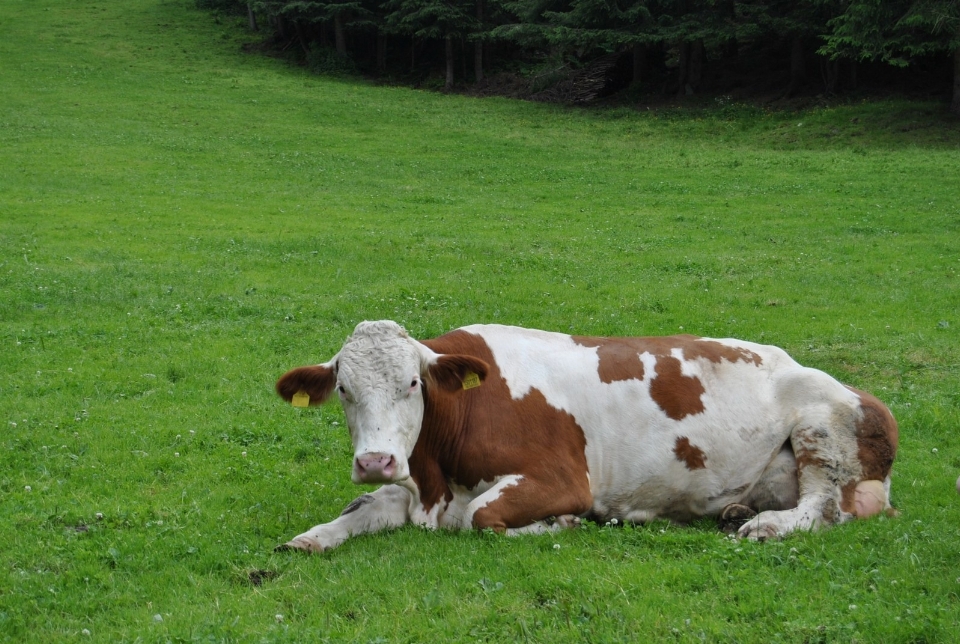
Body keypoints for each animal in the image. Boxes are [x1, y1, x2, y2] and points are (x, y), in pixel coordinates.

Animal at [274, 320, 896, 552]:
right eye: (344, 389)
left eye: (411, 383)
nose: (376, 460)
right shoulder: (415, 483)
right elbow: (360, 508)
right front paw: (311, 537)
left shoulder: (562, 479)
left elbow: (479, 516)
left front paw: (562, 523)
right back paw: (737, 510)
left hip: (821, 428)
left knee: (822, 508)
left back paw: (765, 525)